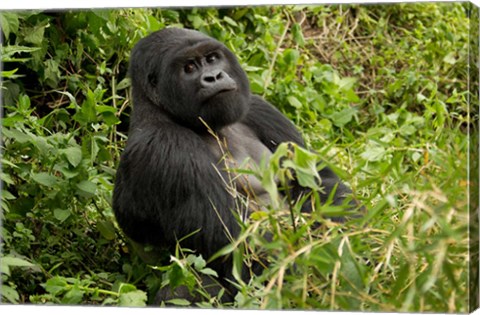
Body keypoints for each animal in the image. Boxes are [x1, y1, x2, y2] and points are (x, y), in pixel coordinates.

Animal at [112, 28, 360, 304]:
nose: (214, 76)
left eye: (211, 58)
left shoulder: (258, 108)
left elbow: (321, 185)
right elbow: (248, 248)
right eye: (189, 67)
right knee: (188, 285)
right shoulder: (167, 149)